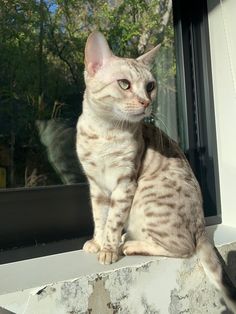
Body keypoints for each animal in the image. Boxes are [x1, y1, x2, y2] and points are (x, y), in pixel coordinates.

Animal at [76, 31, 236, 312]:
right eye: (124, 84)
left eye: (150, 86)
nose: (146, 102)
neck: (103, 133)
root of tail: (202, 228)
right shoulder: (96, 186)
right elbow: (100, 218)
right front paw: (97, 242)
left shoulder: (125, 183)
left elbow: (113, 221)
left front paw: (108, 249)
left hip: (146, 198)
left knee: (184, 248)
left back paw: (129, 245)